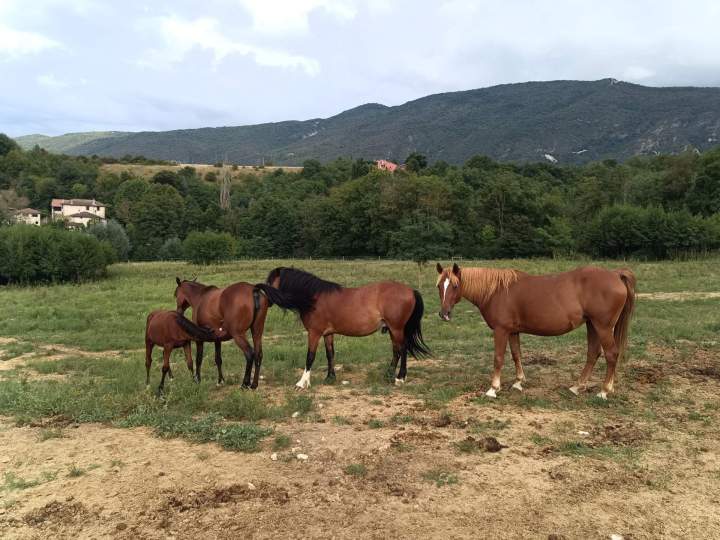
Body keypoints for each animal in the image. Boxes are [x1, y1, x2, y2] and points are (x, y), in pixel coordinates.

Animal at [266, 267, 430, 389]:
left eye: (270, 281)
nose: (265, 301)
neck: (313, 298)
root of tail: (411, 291)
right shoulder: (328, 334)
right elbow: (330, 354)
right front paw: (330, 377)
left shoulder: (314, 333)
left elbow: (310, 356)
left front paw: (302, 383)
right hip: (392, 329)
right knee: (396, 351)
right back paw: (388, 375)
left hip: (396, 328)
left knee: (402, 349)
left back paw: (400, 378)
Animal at [435, 263, 636, 399]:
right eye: (439, 286)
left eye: (455, 285)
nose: (444, 314)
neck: (496, 291)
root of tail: (615, 274)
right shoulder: (512, 331)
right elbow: (516, 354)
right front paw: (518, 382)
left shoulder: (501, 330)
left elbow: (498, 358)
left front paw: (493, 388)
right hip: (592, 325)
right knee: (593, 353)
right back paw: (577, 387)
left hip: (603, 327)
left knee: (611, 354)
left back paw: (604, 391)